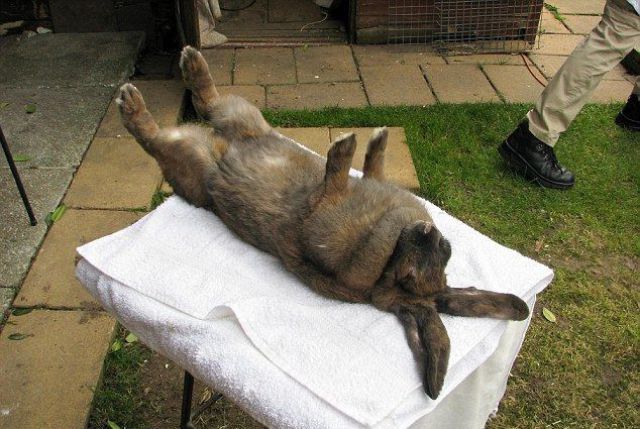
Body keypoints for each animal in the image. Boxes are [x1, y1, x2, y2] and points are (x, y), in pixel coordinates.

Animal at [116, 46, 529, 399]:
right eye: (446, 251)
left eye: (408, 276)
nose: (429, 232)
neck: (387, 254)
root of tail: (218, 145)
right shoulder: (368, 187)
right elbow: (374, 167)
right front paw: (376, 137)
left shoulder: (319, 218)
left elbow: (333, 183)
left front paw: (345, 146)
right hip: (242, 116)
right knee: (209, 101)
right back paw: (190, 63)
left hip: (192, 165)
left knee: (154, 137)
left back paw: (134, 101)